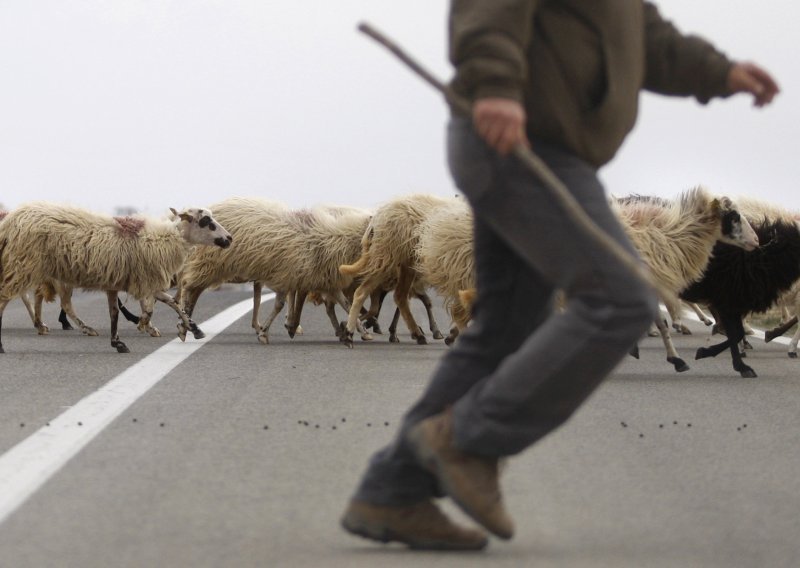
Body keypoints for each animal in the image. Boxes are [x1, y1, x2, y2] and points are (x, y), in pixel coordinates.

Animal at [0, 202, 231, 352]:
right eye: (206, 221)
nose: (229, 238)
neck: (164, 238)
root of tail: (11, 220)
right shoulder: (144, 281)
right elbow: (149, 308)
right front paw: (144, 325)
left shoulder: (128, 282)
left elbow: (167, 304)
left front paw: (191, 329)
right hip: (25, 267)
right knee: (9, 299)